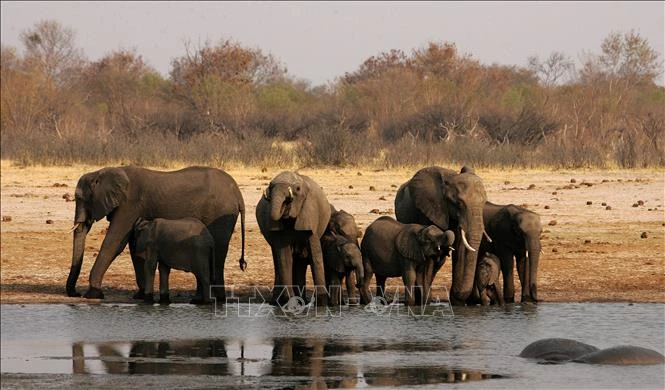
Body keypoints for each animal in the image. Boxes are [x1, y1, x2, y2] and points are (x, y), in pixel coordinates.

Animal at [66, 166, 246, 300]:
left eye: (80, 198)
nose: (75, 293)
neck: (103, 171)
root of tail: (237, 192)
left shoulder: (129, 205)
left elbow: (114, 243)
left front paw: (93, 294)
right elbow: (135, 248)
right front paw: (139, 296)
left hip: (220, 213)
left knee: (218, 253)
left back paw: (215, 299)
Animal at [255, 172, 330, 306]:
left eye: (297, 189)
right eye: (270, 187)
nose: (285, 207)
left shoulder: (309, 214)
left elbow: (315, 254)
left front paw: (321, 303)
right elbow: (285, 258)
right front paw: (290, 301)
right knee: (278, 260)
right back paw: (278, 301)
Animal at [394, 165, 488, 304]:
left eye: (484, 203)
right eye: (459, 203)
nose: (458, 296)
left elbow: (459, 248)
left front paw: (456, 301)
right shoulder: (429, 209)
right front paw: (427, 301)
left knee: (440, 260)